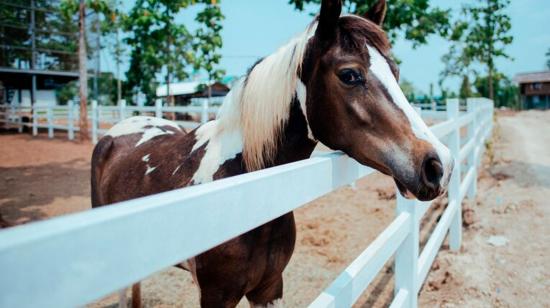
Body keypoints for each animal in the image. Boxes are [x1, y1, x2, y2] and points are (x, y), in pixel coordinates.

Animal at [90, 1, 452, 306]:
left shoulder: (270, 287)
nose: (439, 164)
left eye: (396, 73)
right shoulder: (216, 295)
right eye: (350, 74)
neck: (246, 189)